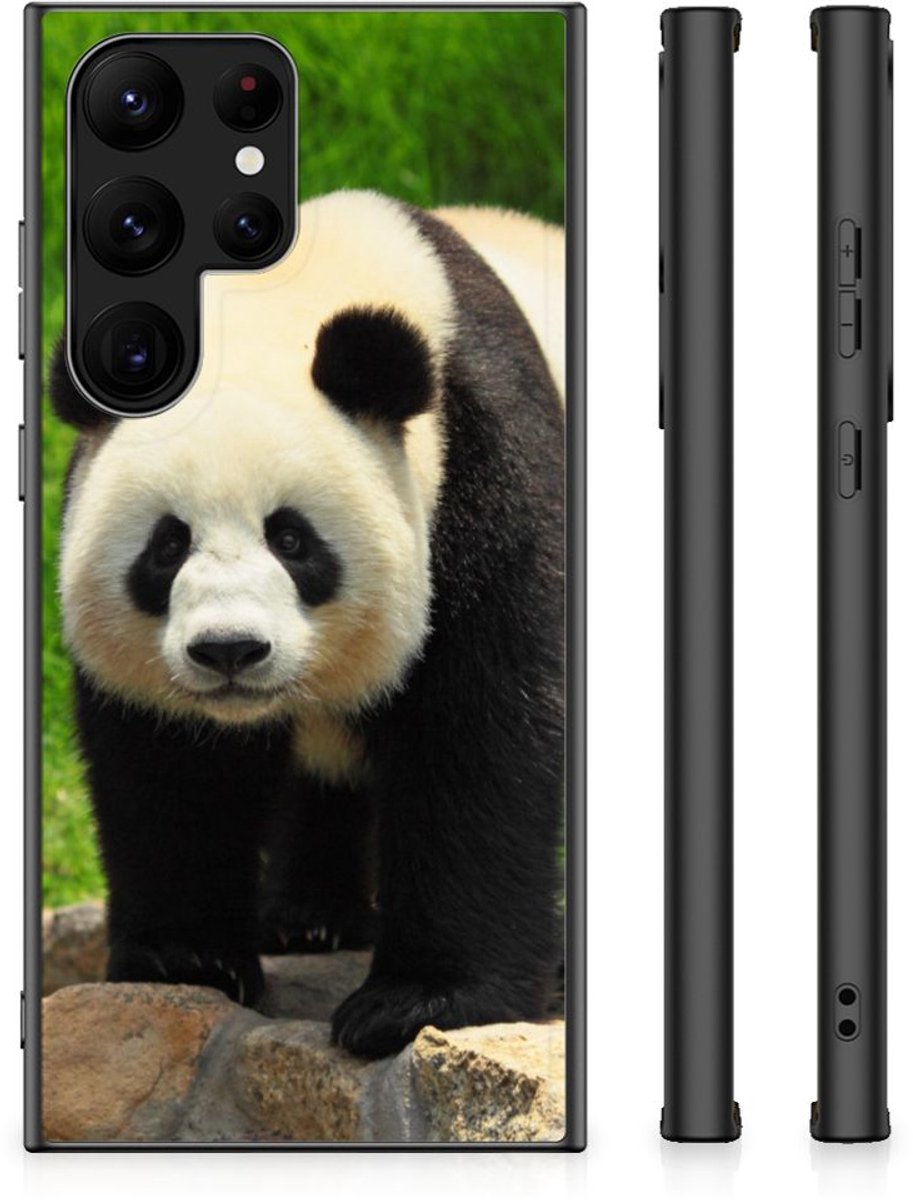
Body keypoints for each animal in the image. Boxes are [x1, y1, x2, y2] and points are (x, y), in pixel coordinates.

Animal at [51, 190, 565, 1059]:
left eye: (291, 539)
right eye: (167, 545)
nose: (229, 650)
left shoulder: (486, 474)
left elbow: (482, 736)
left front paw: (417, 1001)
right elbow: (170, 767)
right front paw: (186, 959)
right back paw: (309, 919)